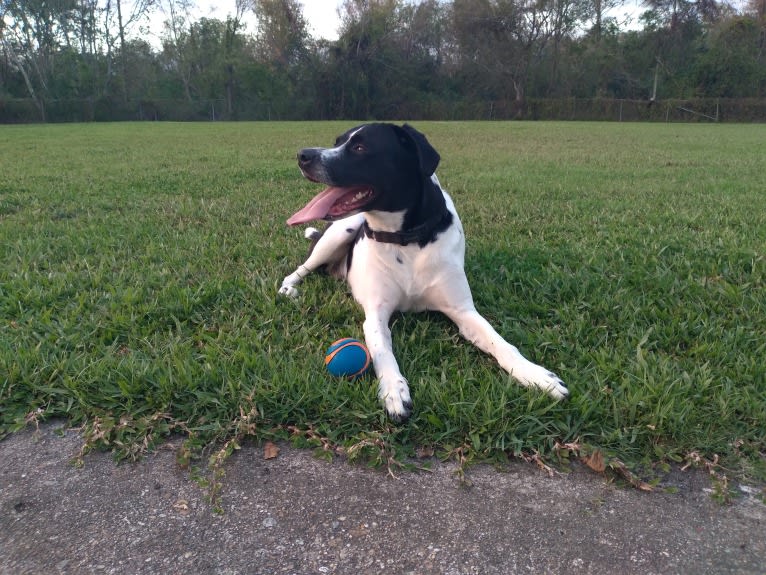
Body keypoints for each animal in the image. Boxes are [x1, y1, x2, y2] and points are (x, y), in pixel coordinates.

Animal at [280, 124, 568, 424]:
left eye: (359, 147)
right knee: (300, 269)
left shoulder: (464, 312)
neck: (406, 239)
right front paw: (394, 390)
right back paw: (289, 289)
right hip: (339, 232)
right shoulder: (376, 315)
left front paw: (536, 376)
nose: (303, 155)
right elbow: (383, 352)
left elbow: (500, 343)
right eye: (337, 141)